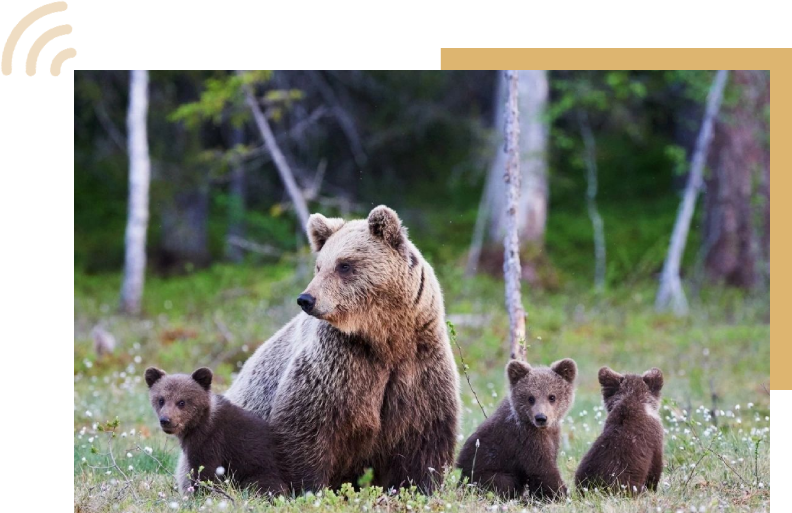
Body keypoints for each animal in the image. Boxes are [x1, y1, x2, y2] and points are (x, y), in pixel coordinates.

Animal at [224, 204, 458, 492]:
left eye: (344, 265)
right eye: (319, 266)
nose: (306, 299)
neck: (385, 338)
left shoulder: (419, 365)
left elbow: (425, 438)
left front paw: (420, 486)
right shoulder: (338, 364)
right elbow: (306, 428)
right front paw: (308, 487)